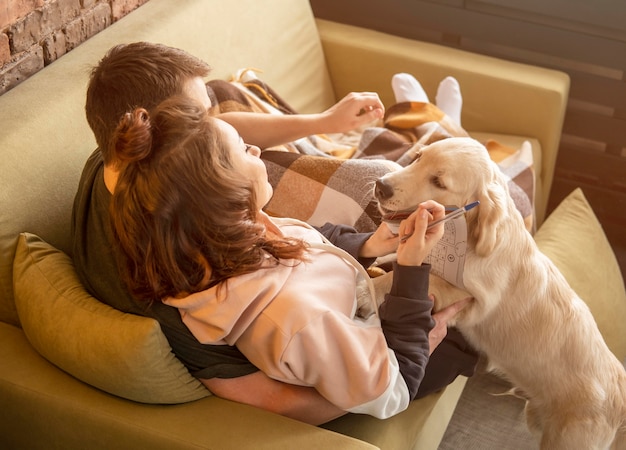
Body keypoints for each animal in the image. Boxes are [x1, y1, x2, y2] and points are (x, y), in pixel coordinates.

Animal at [370, 137, 624, 450]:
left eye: (438, 181)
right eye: (417, 157)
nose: (381, 186)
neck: (471, 235)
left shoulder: (473, 301)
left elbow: (429, 280)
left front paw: (367, 287)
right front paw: (379, 262)